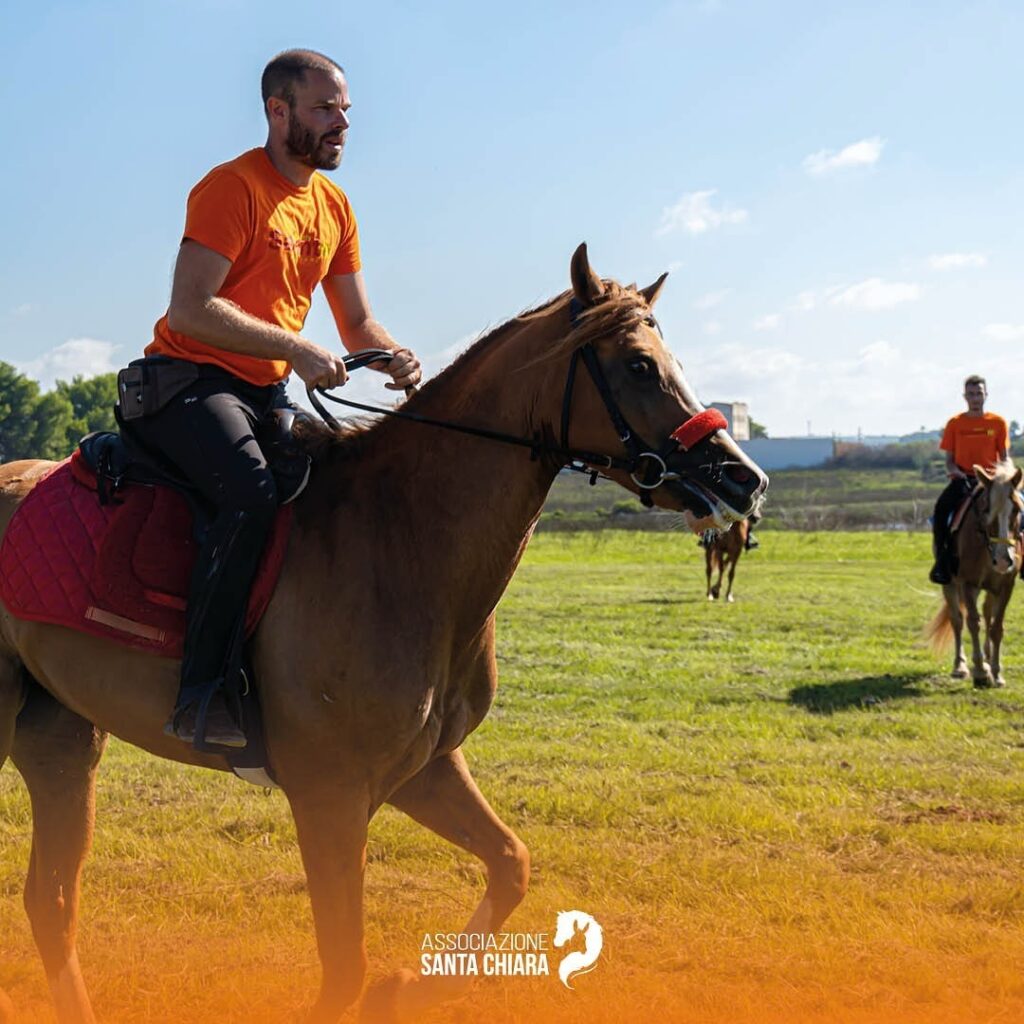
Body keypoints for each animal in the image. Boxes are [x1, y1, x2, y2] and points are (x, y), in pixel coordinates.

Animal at [0, 243, 767, 1024]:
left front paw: (408, 988)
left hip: (62, 742)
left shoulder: (425, 769)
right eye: (639, 364)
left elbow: (511, 865)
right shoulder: (330, 798)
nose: (743, 480)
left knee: (52, 904)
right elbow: (345, 967)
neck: (401, 538)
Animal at [926, 460, 1022, 687]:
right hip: (951, 584)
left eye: (1016, 509)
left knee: (987, 612)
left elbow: (996, 627)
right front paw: (980, 671)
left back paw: (987, 656)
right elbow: (972, 623)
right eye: (986, 508)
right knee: (957, 619)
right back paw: (960, 666)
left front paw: (996, 672)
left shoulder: (1006, 585)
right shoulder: (967, 584)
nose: (1003, 560)